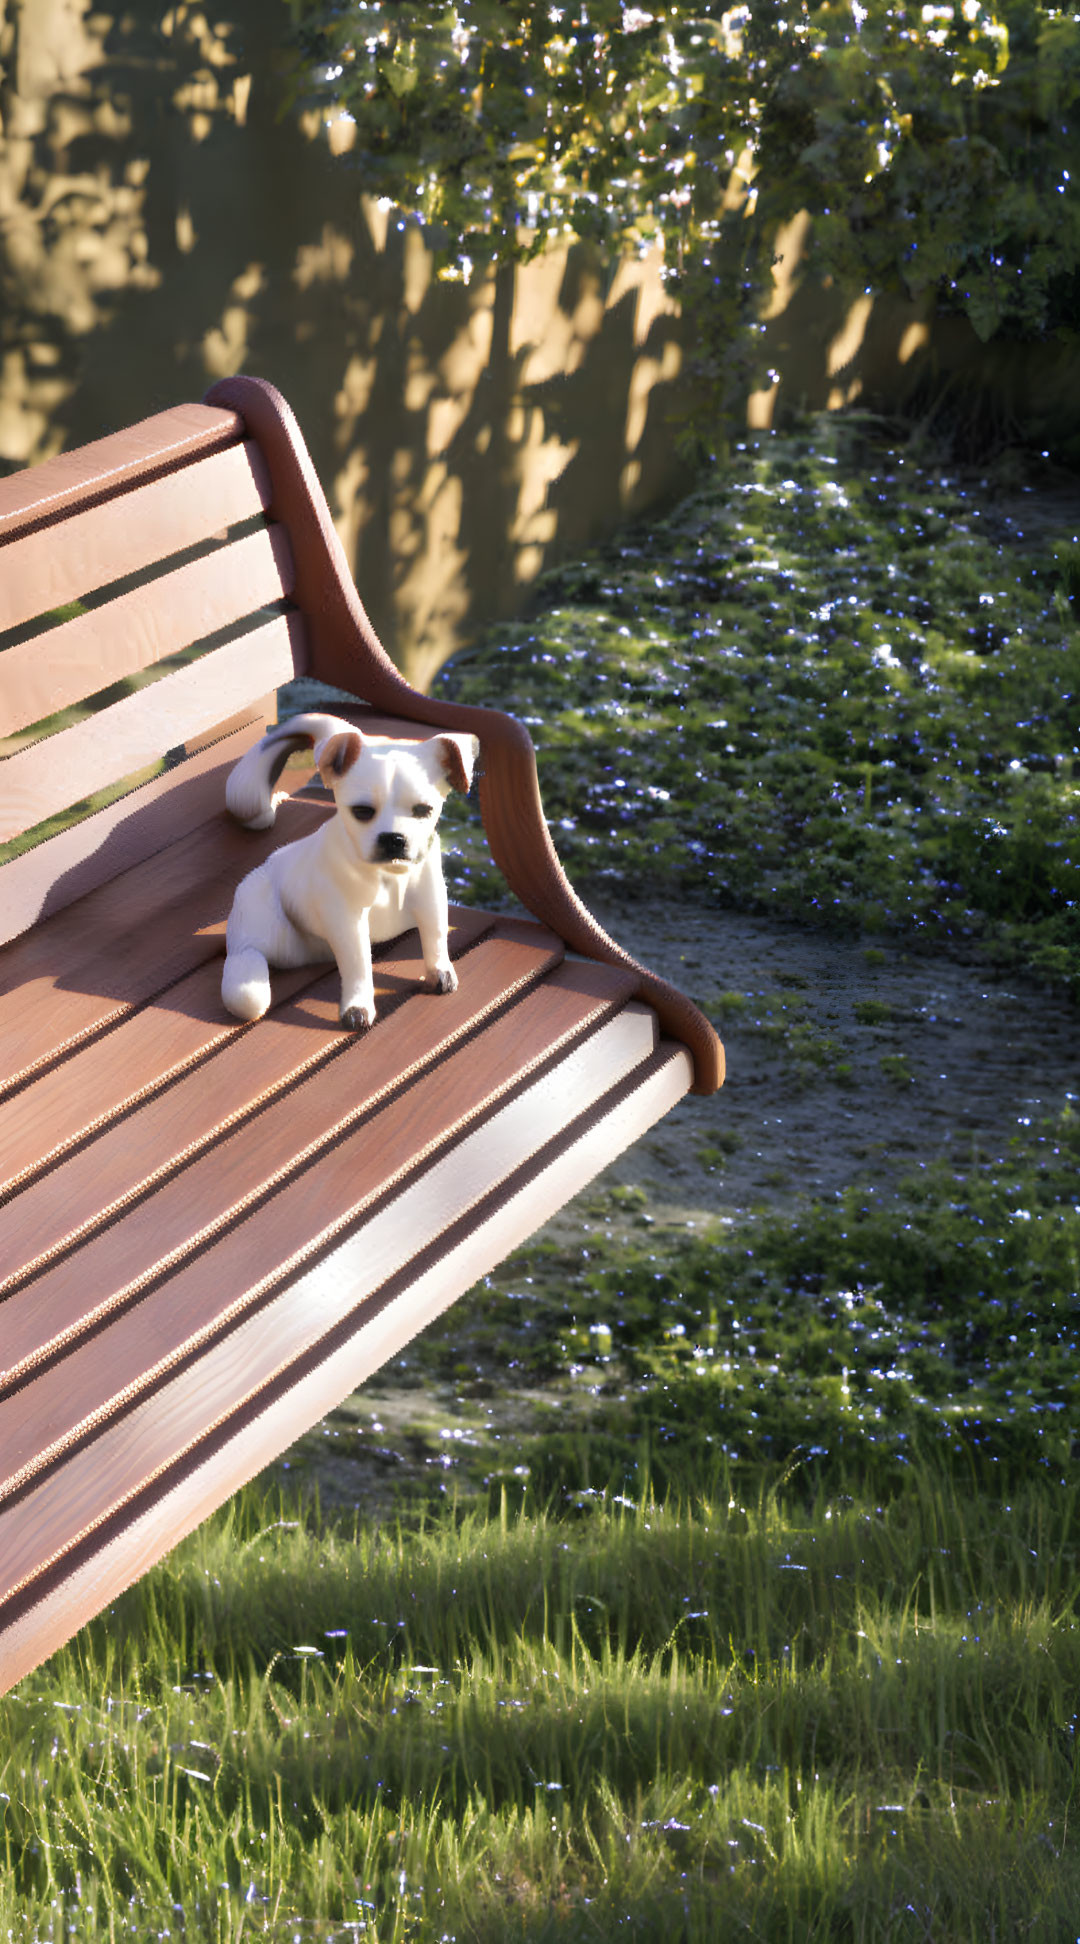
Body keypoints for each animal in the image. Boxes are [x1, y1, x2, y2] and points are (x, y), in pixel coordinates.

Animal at [220, 715, 475, 1034]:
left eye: (423, 810)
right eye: (362, 811)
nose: (394, 838)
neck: (389, 876)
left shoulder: (431, 898)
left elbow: (436, 936)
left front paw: (439, 971)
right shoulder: (347, 922)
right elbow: (359, 965)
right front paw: (358, 1007)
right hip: (264, 933)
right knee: (247, 975)